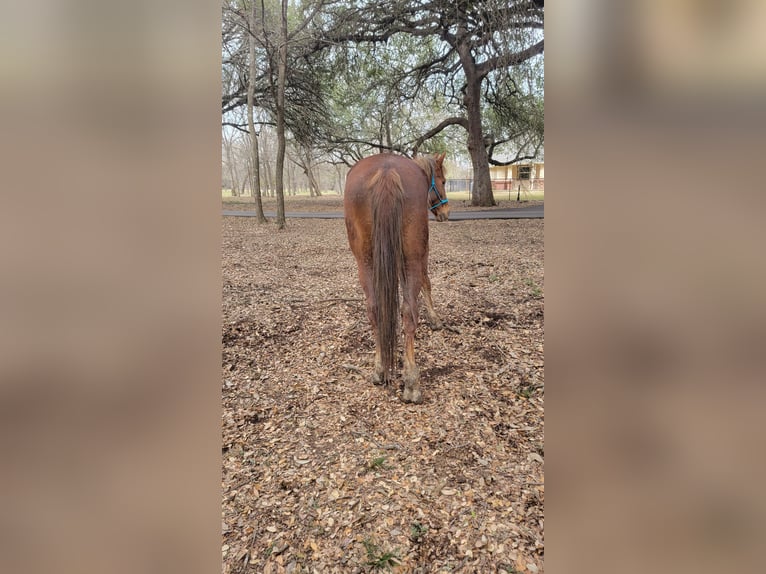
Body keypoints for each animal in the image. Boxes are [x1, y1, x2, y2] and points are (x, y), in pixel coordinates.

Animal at [343, 153, 450, 403]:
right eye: (443, 181)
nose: (445, 212)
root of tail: (386, 171)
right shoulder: (422, 254)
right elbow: (427, 283)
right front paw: (435, 318)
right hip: (412, 257)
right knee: (409, 311)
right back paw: (411, 381)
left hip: (365, 260)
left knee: (374, 309)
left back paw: (380, 368)